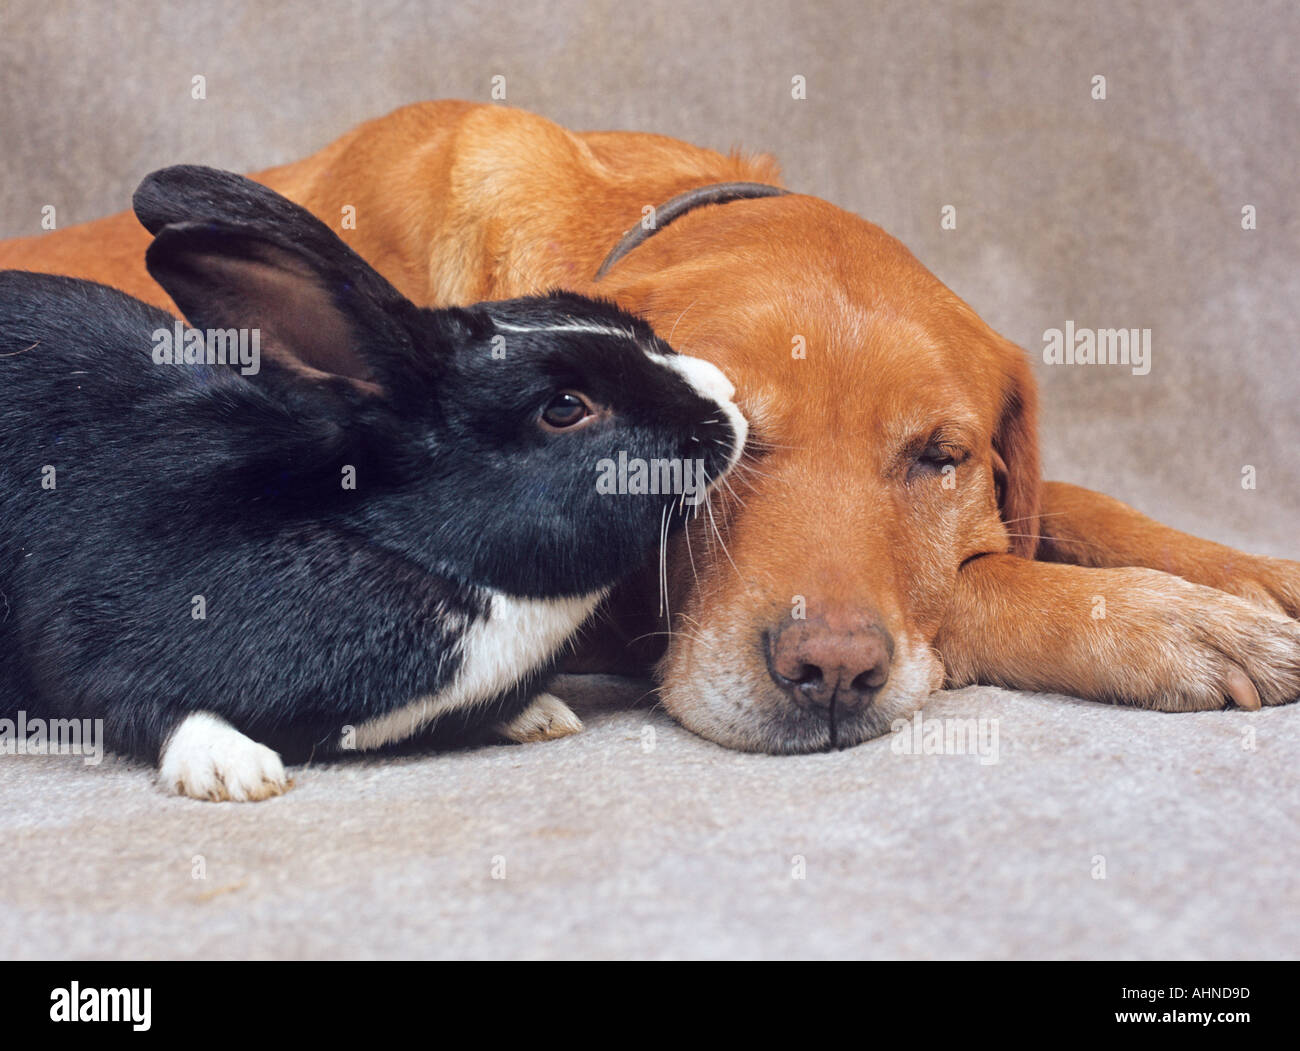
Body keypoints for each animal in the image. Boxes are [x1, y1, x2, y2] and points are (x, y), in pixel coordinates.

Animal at [0, 167, 748, 801]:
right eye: (564, 407)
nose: (728, 401)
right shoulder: (89, 623)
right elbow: (131, 699)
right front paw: (234, 769)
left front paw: (540, 714)